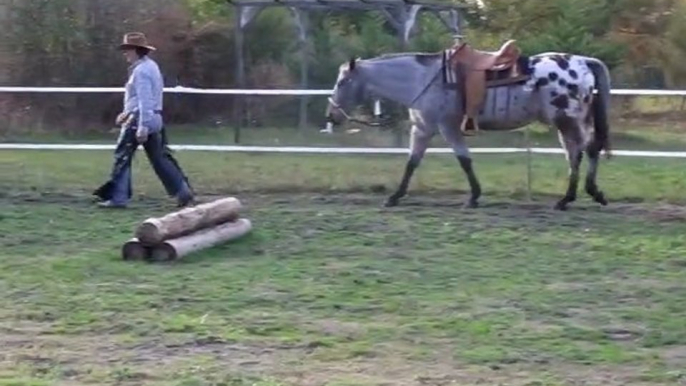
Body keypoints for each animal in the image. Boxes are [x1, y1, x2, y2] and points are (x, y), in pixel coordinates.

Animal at [326, 50, 616, 211]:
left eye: (342, 81)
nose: (331, 116)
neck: (423, 79)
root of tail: (583, 62)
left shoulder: (446, 127)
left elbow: (464, 160)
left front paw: (473, 197)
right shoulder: (422, 128)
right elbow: (412, 162)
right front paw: (394, 197)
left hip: (566, 120)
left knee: (580, 152)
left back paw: (569, 198)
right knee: (585, 150)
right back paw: (588, 194)